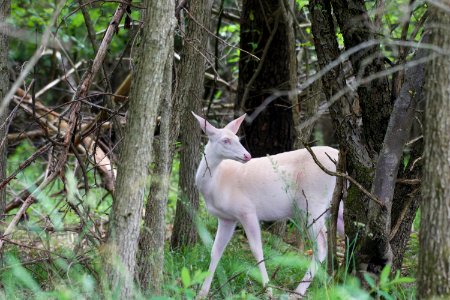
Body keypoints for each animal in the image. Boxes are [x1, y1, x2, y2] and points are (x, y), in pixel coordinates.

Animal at [193, 112, 344, 298]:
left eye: (237, 138)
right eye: (226, 140)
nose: (247, 155)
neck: (217, 183)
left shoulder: (247, 210)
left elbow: (257, 249)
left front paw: (269, 290)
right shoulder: (227, 218)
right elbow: (215, 250)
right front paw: (202, 292)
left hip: (313, 201)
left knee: (321, 245)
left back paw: (297, 292)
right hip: (335, 204)